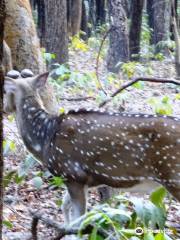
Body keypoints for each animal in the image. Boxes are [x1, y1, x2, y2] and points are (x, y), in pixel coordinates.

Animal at [3, 73, 180, 225]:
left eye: (5, 91)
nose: (4, 108)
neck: (45, 138)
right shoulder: (78, 180)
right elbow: (64, 206)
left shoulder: (73, 174)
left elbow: (78, 220)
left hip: (173, 177)